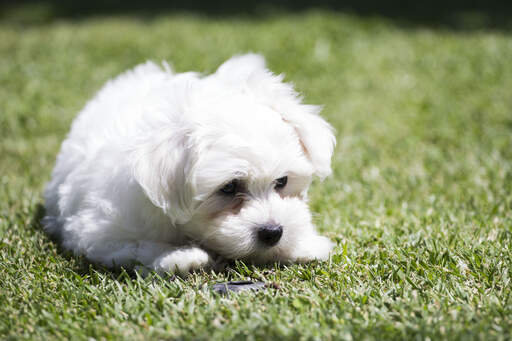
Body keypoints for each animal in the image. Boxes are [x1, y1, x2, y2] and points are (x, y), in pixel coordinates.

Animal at [44, 53, 336, 276]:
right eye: (229, 187)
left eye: (282, 181)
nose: (273, 232)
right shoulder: (97, 232)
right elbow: (140, 246)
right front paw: (181, 257)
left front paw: (303, 244)